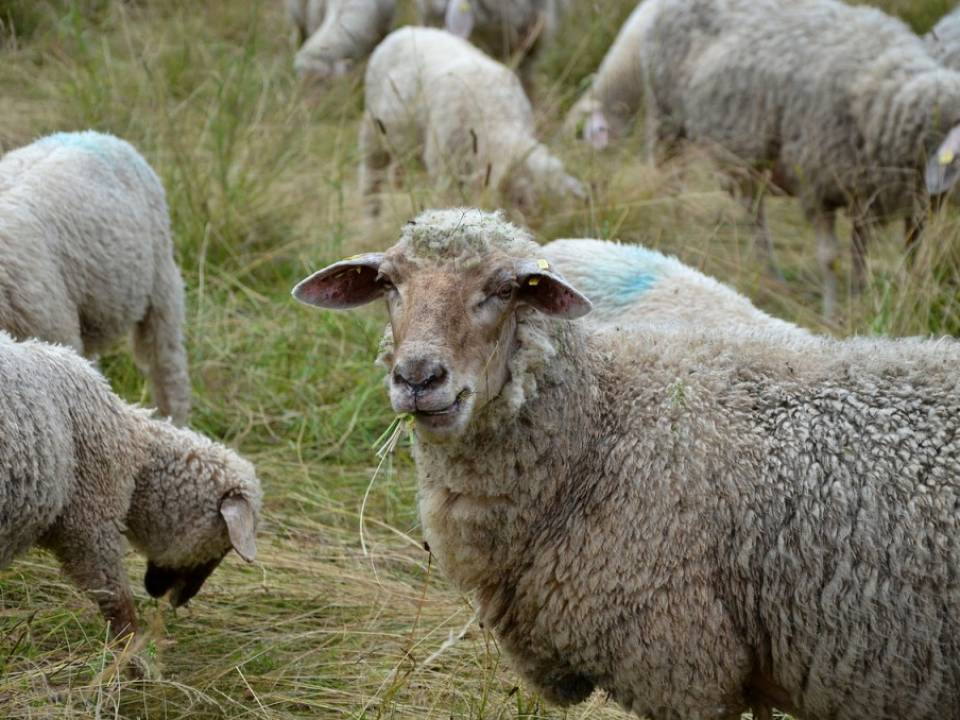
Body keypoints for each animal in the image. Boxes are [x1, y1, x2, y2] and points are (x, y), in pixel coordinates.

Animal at [0, 330, 262, 640]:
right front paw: (134, 650)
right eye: (223, 544)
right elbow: (117, 602)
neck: (135, 450)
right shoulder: (91, 525)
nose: (179, 599)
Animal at [360, 26, 584, 217]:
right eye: (520, 202)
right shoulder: (444, 170)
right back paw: (371, 214)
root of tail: (408, 29)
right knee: (371, 174)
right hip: (373, 129)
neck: (494, 119)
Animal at [568, 0, 960, 318]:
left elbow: (876, 256)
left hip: (746, 155)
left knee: (753, 213)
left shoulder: (876, 194)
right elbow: (830, 259)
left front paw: (866, 300)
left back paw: (773, 275)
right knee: (670, 181)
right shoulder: (818, 185)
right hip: (668, 120)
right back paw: (674, 225)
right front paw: (833, 314)